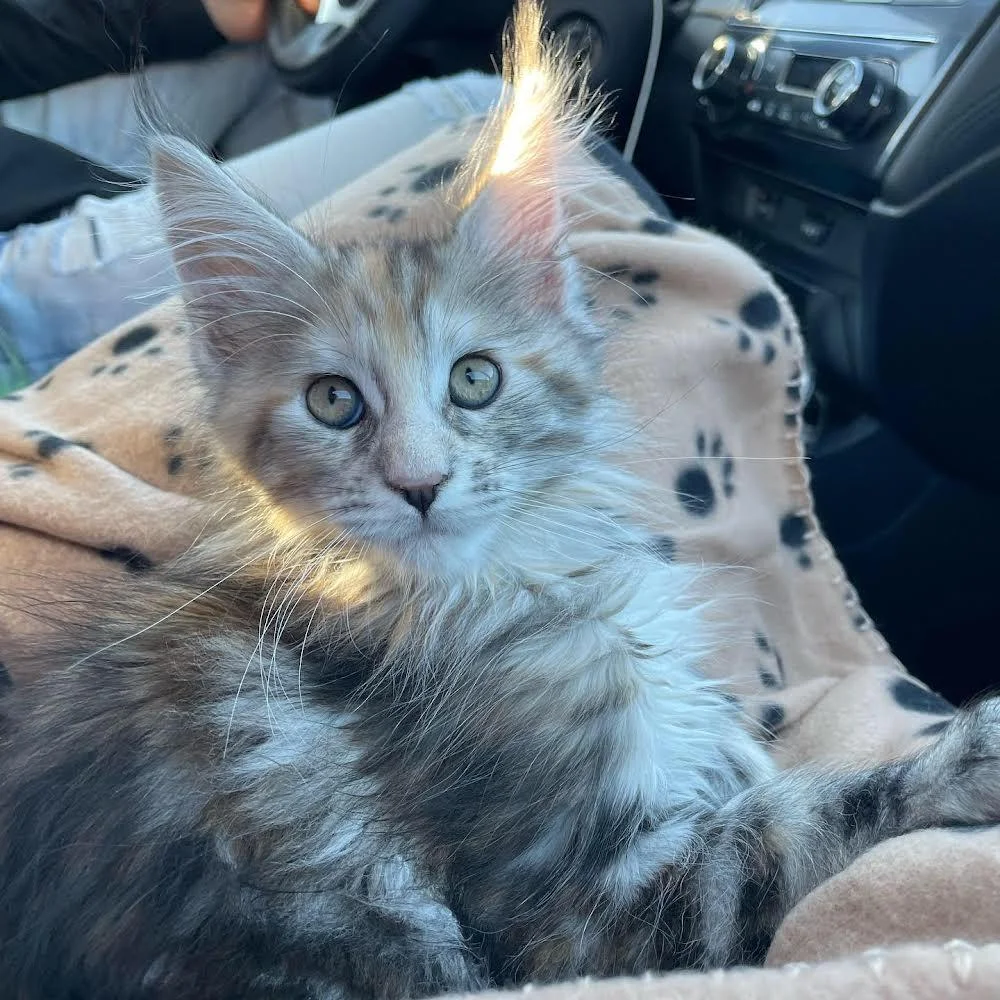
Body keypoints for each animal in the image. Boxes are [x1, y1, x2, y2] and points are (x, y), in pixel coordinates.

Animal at [1, 3, 999, 998]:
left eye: (475, 380)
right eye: (334, 401)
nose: (419, 483)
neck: (499, 590)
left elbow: (730, 746)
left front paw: (736, 743)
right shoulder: (579, 912)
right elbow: (799, 822)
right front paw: (965, 757)